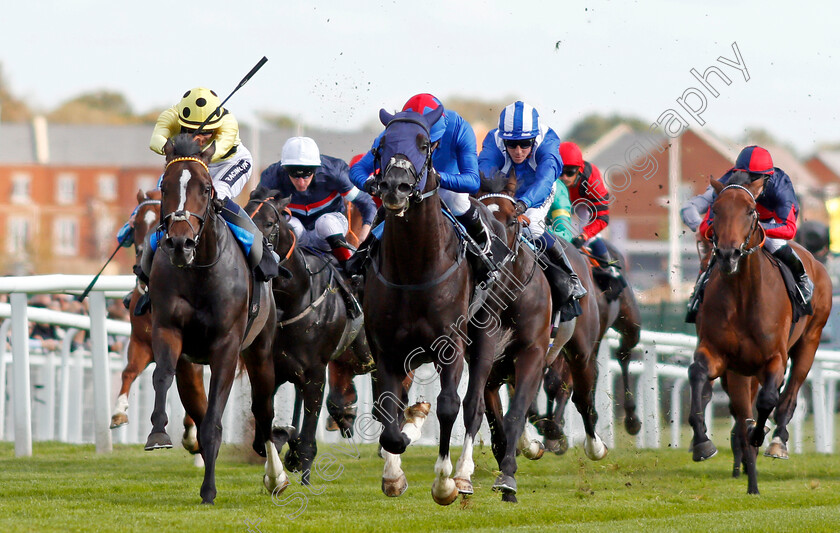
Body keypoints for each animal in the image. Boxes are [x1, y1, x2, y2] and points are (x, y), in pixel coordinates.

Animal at [108, 188, 203, 454]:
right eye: (136, 223)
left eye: (157, 225)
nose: (142, 256)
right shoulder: (141, 341)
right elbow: (129, 371)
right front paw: (119, 413)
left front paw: (192, 434)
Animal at [144, 134, 286, 502]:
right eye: (164, 186)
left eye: (206, 189)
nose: (180, 242)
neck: (199, 271)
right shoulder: (167, 330)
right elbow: (162, 376)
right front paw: (158, 433)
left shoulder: (226, 346)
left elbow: (215, 422)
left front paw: (208, 489)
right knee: (197, 404)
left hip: (260, 351)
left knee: (263, 411)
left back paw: (276, 476)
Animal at [244, 186, 372, 482]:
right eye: (243, 214)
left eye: (270, 223)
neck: (293, 298)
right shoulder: (273, 368)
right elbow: (262, 436)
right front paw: (284, 437)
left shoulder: (314, 371)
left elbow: (307, 433)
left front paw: (299, 456)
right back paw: (345, 412)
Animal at [362, 106, 498, 504]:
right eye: (382, 145)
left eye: (424, 144)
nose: (395, 187)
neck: (413, 269)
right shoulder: (386, 347)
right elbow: (388, 412)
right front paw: (393, 474)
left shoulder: (451, 345)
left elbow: (449, 405)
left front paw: (444, 481)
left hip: (485, 338)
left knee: (473, 406)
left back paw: (464, 475)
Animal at [688, 176, 832, 494]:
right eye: (716, 209)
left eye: (750, 211)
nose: (727, 254)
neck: (742, 294)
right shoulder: (719, 355)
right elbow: (697, 374)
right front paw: (702, 442)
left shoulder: (774, 357)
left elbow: (768, 400)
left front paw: (760, 434)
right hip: (741, 372)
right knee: (740, 413)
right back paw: (750, 478)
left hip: (810, 341)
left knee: (788, 396)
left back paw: (776, 441)